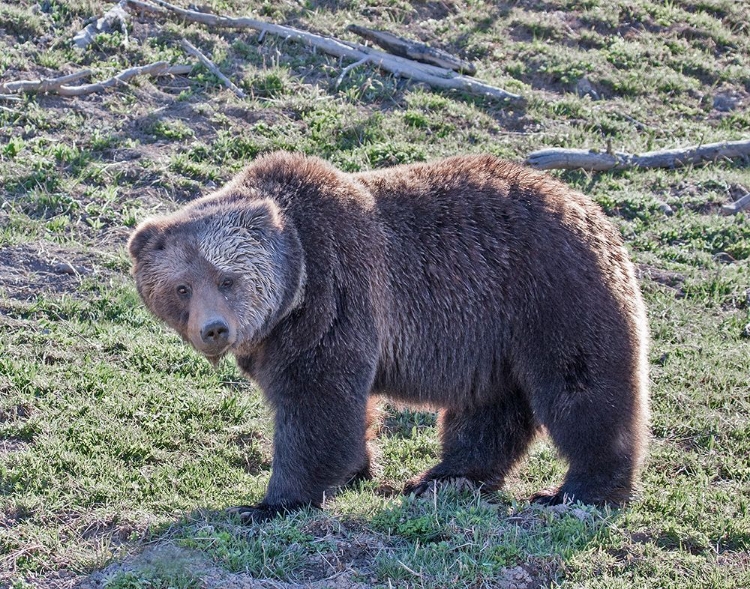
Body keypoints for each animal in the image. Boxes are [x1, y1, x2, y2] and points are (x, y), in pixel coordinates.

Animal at [126, 150, 648, 520]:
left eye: (227, 279)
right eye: (182, 286)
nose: (214, 329)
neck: (294, 286)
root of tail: (590, 208)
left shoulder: (336, 296)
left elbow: (316, 404)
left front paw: (270, 503)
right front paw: (358, 470)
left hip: (552, 295)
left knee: (582, 390)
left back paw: (577, 492)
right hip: (494, 336)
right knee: (490, 407)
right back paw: (444, 477)